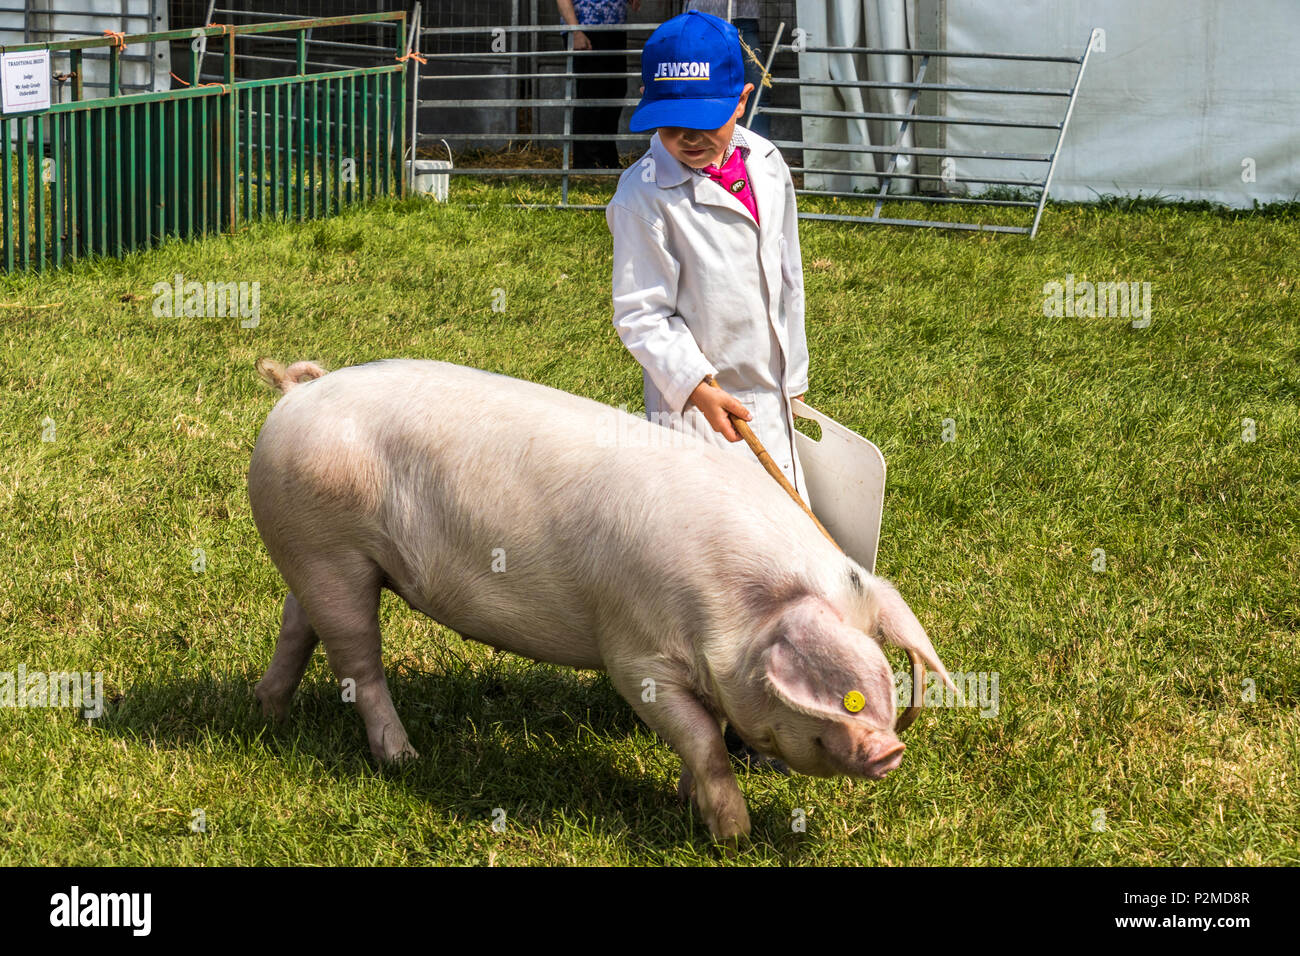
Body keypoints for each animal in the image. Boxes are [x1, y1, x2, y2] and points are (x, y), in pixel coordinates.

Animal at [245, 361, 956, 842]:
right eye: (849, 695)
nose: (890, 752)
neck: (735, 610)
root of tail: (297, 393)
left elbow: (702, 738)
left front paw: (688, 805)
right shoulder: (635, 655)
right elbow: (702, 738)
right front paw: (734, 835)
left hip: (316, 557)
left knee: (297, 624)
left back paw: (269, 714)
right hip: (329, 552)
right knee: (358, 663)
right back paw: (403, 758)